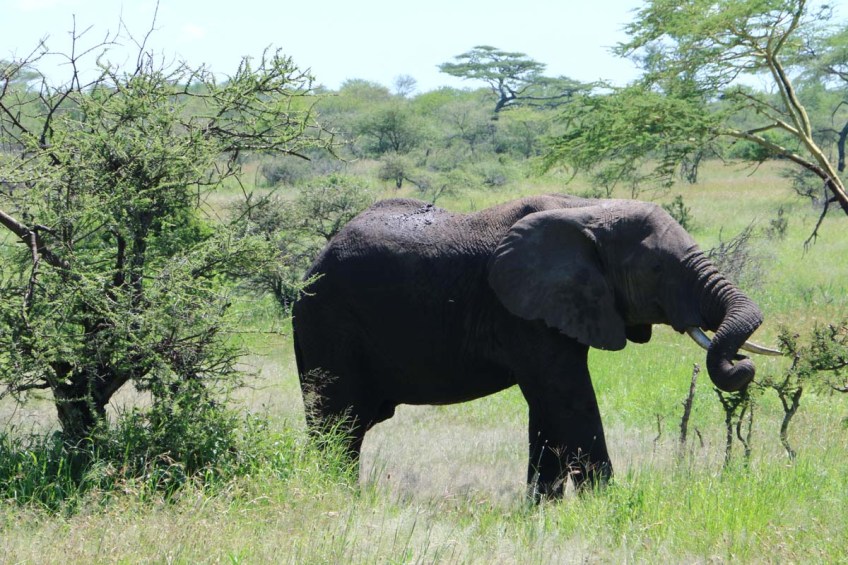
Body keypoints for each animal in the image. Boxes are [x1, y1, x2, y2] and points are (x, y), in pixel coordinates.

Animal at [291, 194, 780, 499]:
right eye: (657, 269)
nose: (740, 363)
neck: (590, 208)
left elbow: (548, 413)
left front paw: (542, 512)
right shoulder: (520, 311)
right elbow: (569, 401)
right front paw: (607, 508)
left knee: (352, 424)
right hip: (325, 321)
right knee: (338, 421)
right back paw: (337, 499)